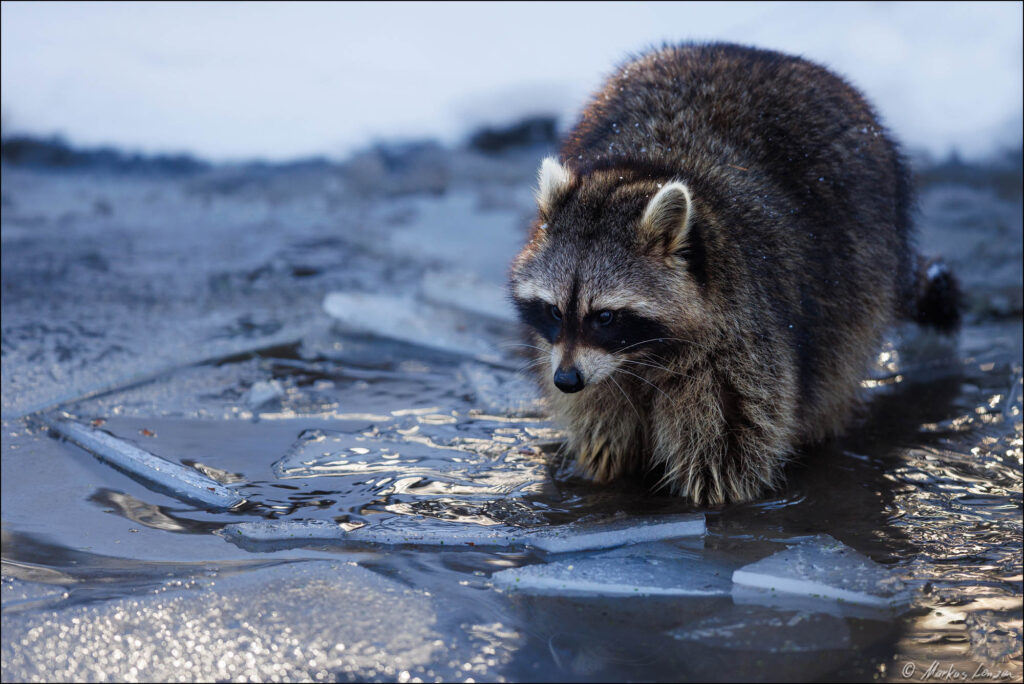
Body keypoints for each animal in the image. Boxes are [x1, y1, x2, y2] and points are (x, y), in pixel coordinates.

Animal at [507, 41, 962, 501]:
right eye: (554, 311)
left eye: (604, 316)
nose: (566, 379)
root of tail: (753, 52)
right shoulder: (580, 363)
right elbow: (600, 420)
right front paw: (604, 470)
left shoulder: (740, 341)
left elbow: (729, 440)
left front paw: (716, 495)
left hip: (864, 263)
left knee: (838, 354)